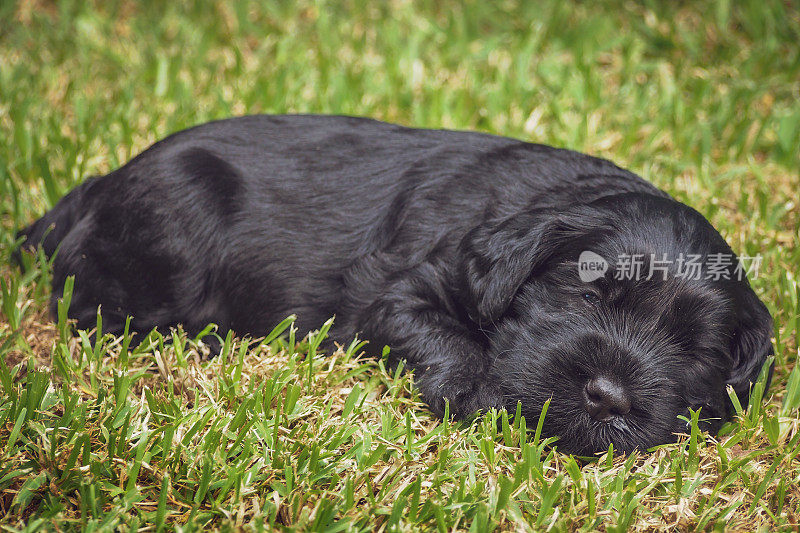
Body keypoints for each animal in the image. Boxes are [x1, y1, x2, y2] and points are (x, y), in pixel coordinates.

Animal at [14, 115, 776, 454]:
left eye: (694, 350)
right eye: (588, 293)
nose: (609, 398)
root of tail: (94, 189)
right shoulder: (398, 286)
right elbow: (443, 338)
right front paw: (480, 395)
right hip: (172, 229)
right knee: (85, 302)